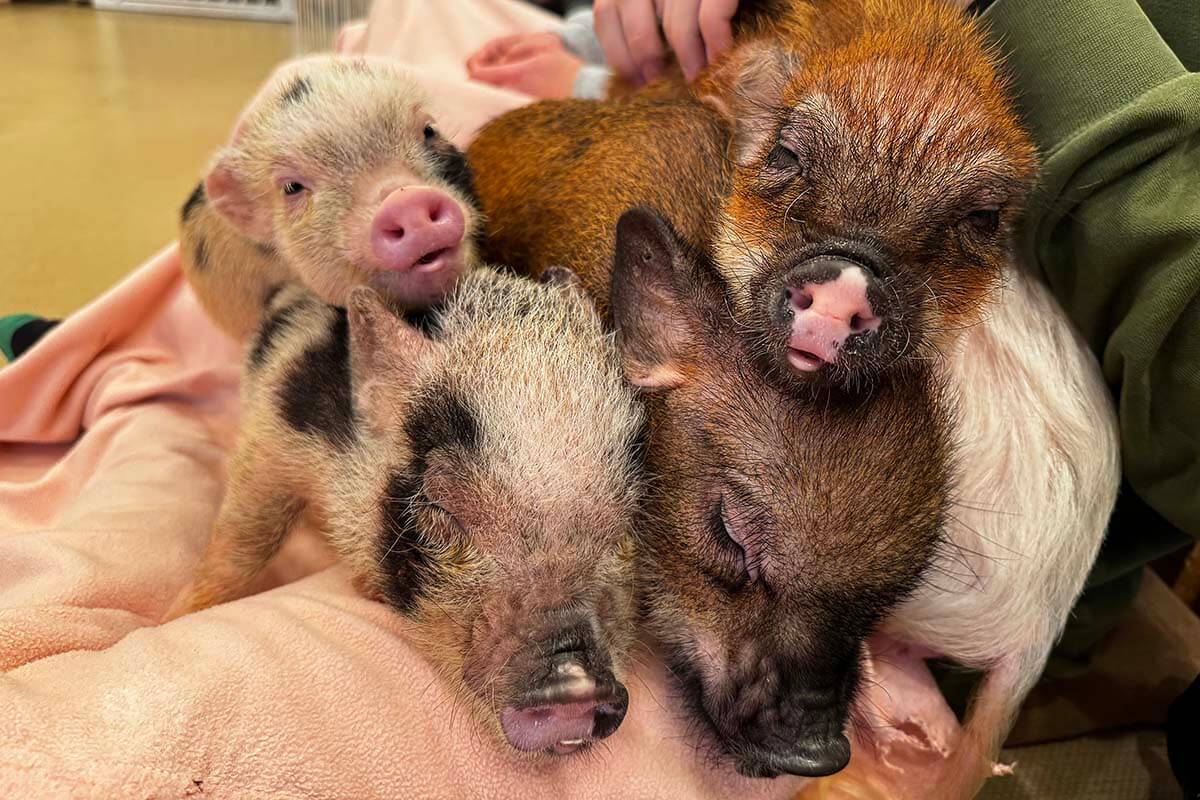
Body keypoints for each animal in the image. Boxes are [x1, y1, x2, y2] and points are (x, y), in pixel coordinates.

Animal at [163, 267, 646, 757]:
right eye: (439, 505)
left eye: (625, 521)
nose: (576, 683)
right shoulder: (275, 432)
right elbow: (244, 540)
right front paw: (175, 616)